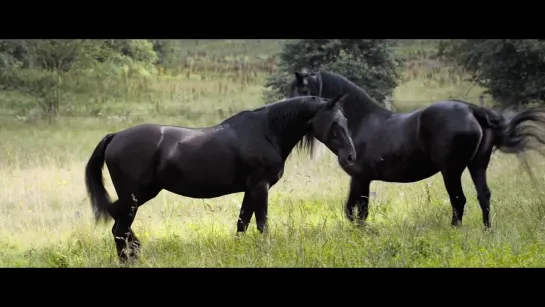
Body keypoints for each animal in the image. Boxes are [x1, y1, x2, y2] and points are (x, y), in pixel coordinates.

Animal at [84, 94, 356, 262]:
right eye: (334, 123)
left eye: (346, 120)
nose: (351, 157)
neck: (267, 132)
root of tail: (115, 136)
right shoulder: (260, 188)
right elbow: (262, 225)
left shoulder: (250, 190)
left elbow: (242, 224)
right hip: (135, 196)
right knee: (120, 229)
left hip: (138, 196)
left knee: (120, 226)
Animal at [286, 70, 544, 231]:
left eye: (302, 91)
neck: (360, 122)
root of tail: (472, 110)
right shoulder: (361, 179)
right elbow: (353, 210)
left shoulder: (360, 177)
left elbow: (357, 211)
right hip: (478, 165)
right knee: (484, 196)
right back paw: (486, 230)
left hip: (451, 170)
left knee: (459, 200)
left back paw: (454, 230)